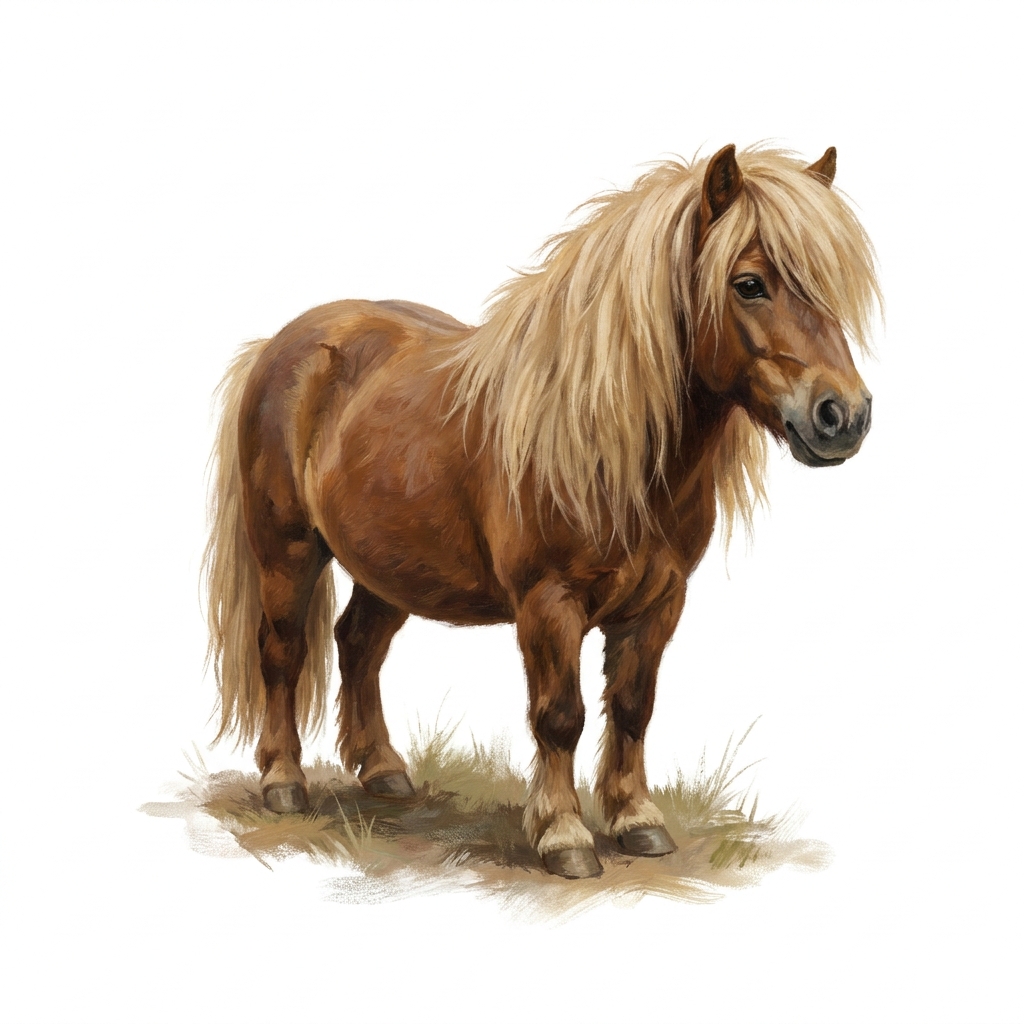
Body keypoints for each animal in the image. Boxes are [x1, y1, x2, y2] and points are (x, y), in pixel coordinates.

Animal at [204, 144, 880, 879]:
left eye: (831, 286)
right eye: (750, 284)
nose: (844, 415)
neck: (607, 447)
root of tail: (284, 343)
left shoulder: (659, 602)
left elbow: (633, 708)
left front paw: (637, 820)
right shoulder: (548, 603)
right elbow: (560, 715)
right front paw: (564, 836)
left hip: (390, 565)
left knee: (358, 645)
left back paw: (383, 771)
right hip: (288, 550)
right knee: (282, 650)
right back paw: (283, 782)